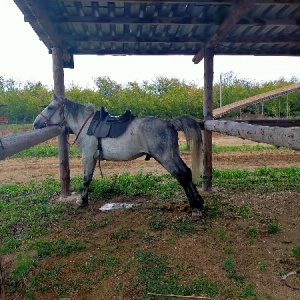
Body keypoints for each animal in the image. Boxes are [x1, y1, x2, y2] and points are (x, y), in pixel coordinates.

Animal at [34, 92, 205, 217]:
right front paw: (84, 200)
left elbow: (86, 180)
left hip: (166, 158)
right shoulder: (93, 159)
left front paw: (82, 201)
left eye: (50, 107)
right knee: (187, 172)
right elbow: (89, 179)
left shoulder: (87, 157)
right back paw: (199, 202)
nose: (35, 123)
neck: (87, 125)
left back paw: (195, 207)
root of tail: (169, 123)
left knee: (182, 176)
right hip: (173, 155)